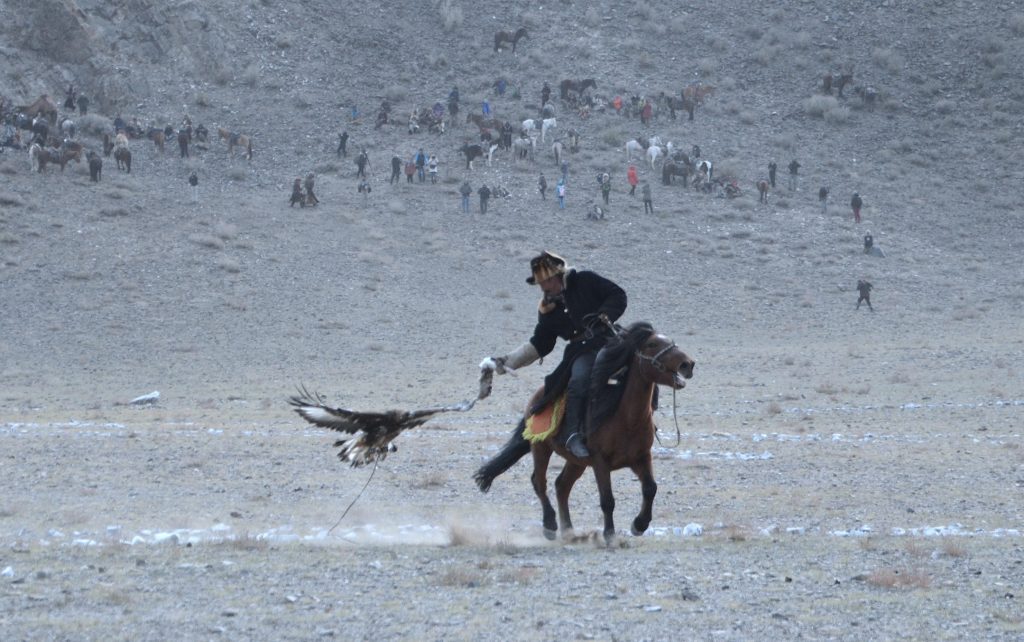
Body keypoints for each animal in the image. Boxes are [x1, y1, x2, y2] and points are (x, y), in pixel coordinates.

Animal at [473, 323, 696, 544]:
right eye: (652, 344)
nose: (688, 364)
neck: (626, 418)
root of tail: (536, 398)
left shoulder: (641, 457)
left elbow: (650, 488)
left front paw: (639, 525)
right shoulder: (600, 461)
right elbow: (607, 500)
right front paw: (610, 535)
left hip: (576, 461)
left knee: (561, 485)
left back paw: (569, 530)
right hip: (541, 447)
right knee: (539, 482)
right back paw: (550, 525)